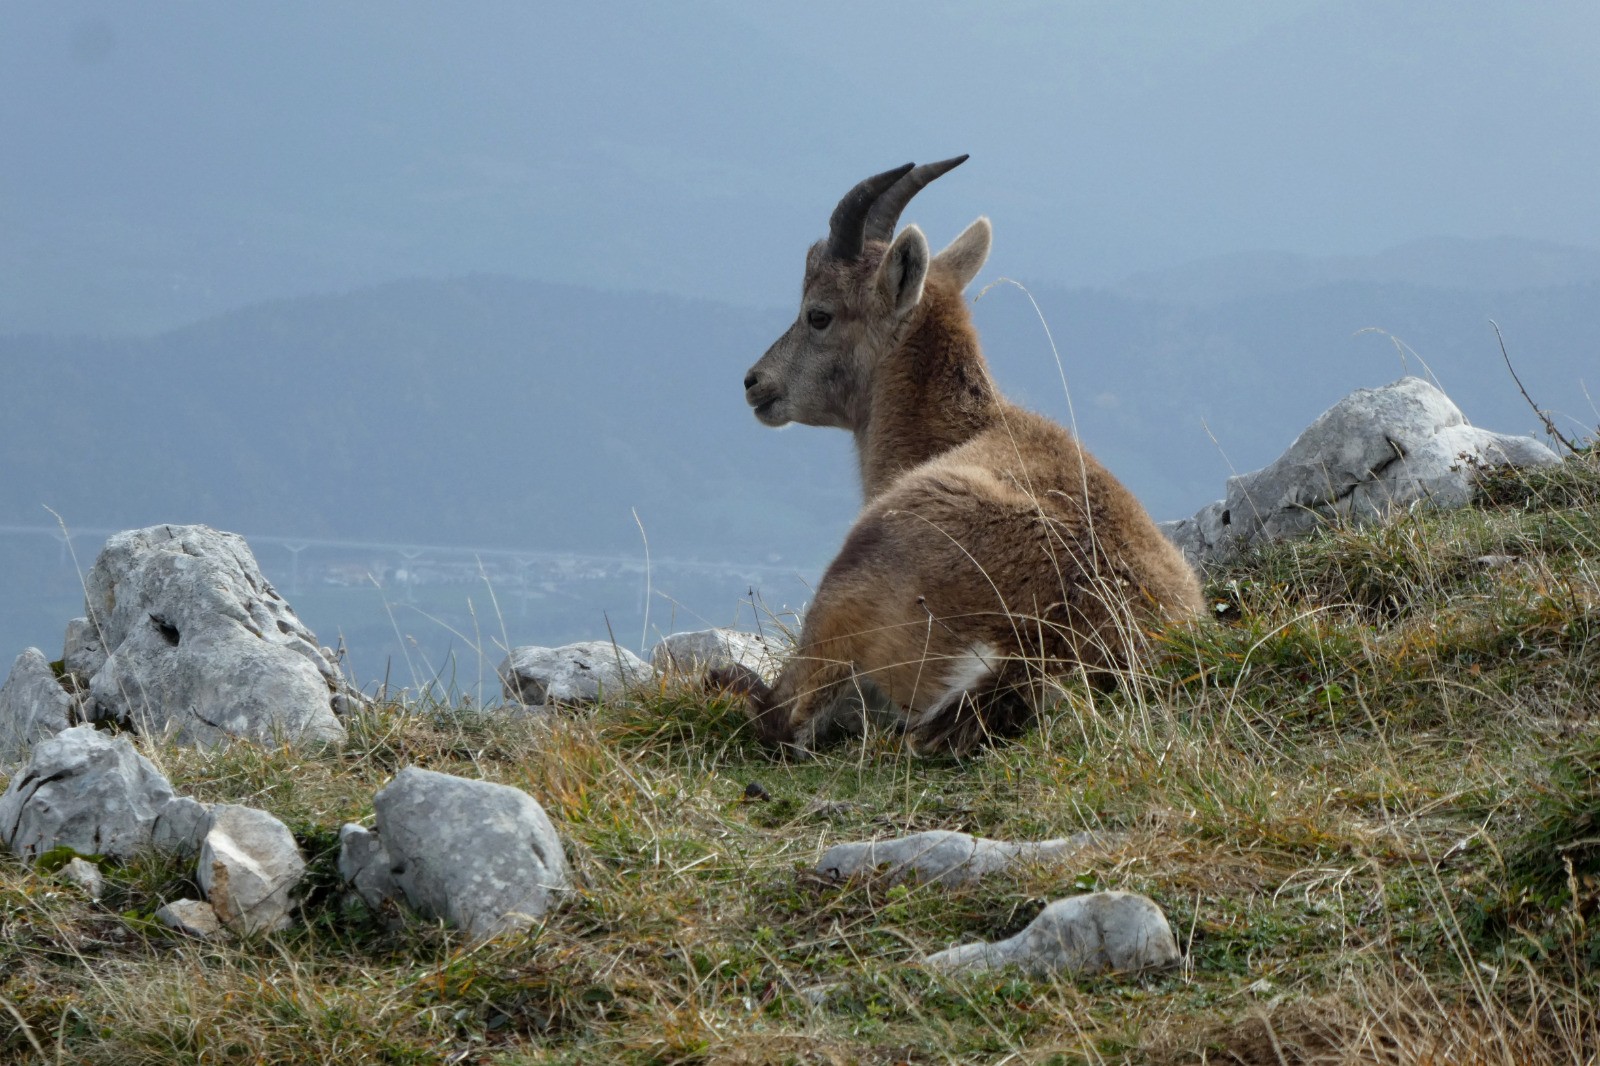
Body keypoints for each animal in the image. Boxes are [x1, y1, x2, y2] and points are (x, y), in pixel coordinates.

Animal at [718, 157, 1204, 755]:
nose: (755, 382)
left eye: (818, 314)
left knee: (784, 716)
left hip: (862, 570)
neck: (952, 432)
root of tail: (1040, 650)